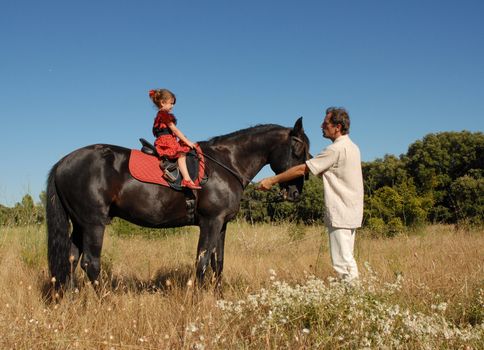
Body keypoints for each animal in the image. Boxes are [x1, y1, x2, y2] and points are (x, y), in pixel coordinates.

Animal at [46, 117, 310, 290]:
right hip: (93, 224)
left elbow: (218, 263)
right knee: (91, 264)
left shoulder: (222, 225)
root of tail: (63, 162)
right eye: (298, 147)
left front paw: (217, 297)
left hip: (79, 225)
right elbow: (202, 262)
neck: (226, 163)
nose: (296, 192)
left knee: (70, 261)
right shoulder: (210, 222)